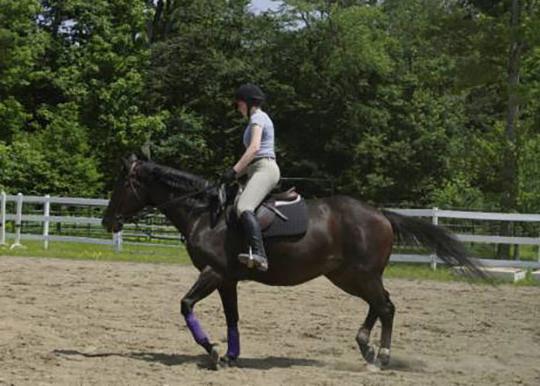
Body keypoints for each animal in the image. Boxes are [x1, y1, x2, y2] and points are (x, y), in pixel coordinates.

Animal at [101, 155, 486, 370]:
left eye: (122, 184)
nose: (107, 222)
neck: (206, 214)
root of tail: (381, 214)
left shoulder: (213, 273)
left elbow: (185, 304)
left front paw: (211, 349)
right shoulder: (227, 279)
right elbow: (232, 317)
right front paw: (230, 355)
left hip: (361, 275)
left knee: (386, 307)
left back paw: (383, 357)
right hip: (347, 276)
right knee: (380, 304)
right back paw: (365, 346)